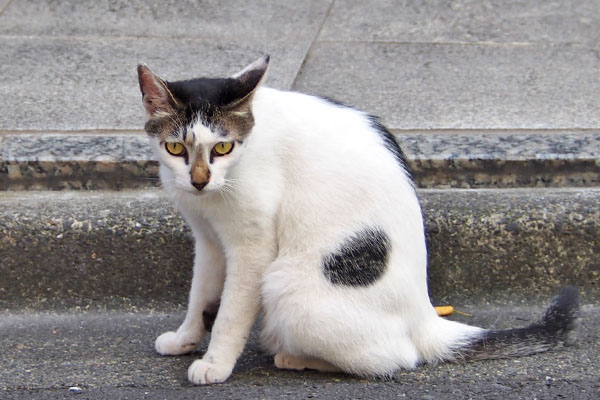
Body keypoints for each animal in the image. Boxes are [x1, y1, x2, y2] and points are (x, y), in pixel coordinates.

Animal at [136, 54, 576, 384]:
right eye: (175, 148)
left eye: (222, 147)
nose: (199, 180)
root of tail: (425, 315)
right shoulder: (208, 239)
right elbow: (200, 294)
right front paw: (186, 338)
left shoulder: (252, 247)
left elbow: (229, 312)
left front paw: (215, 363)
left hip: (286, 286)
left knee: (394, 358)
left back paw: (294, 356)